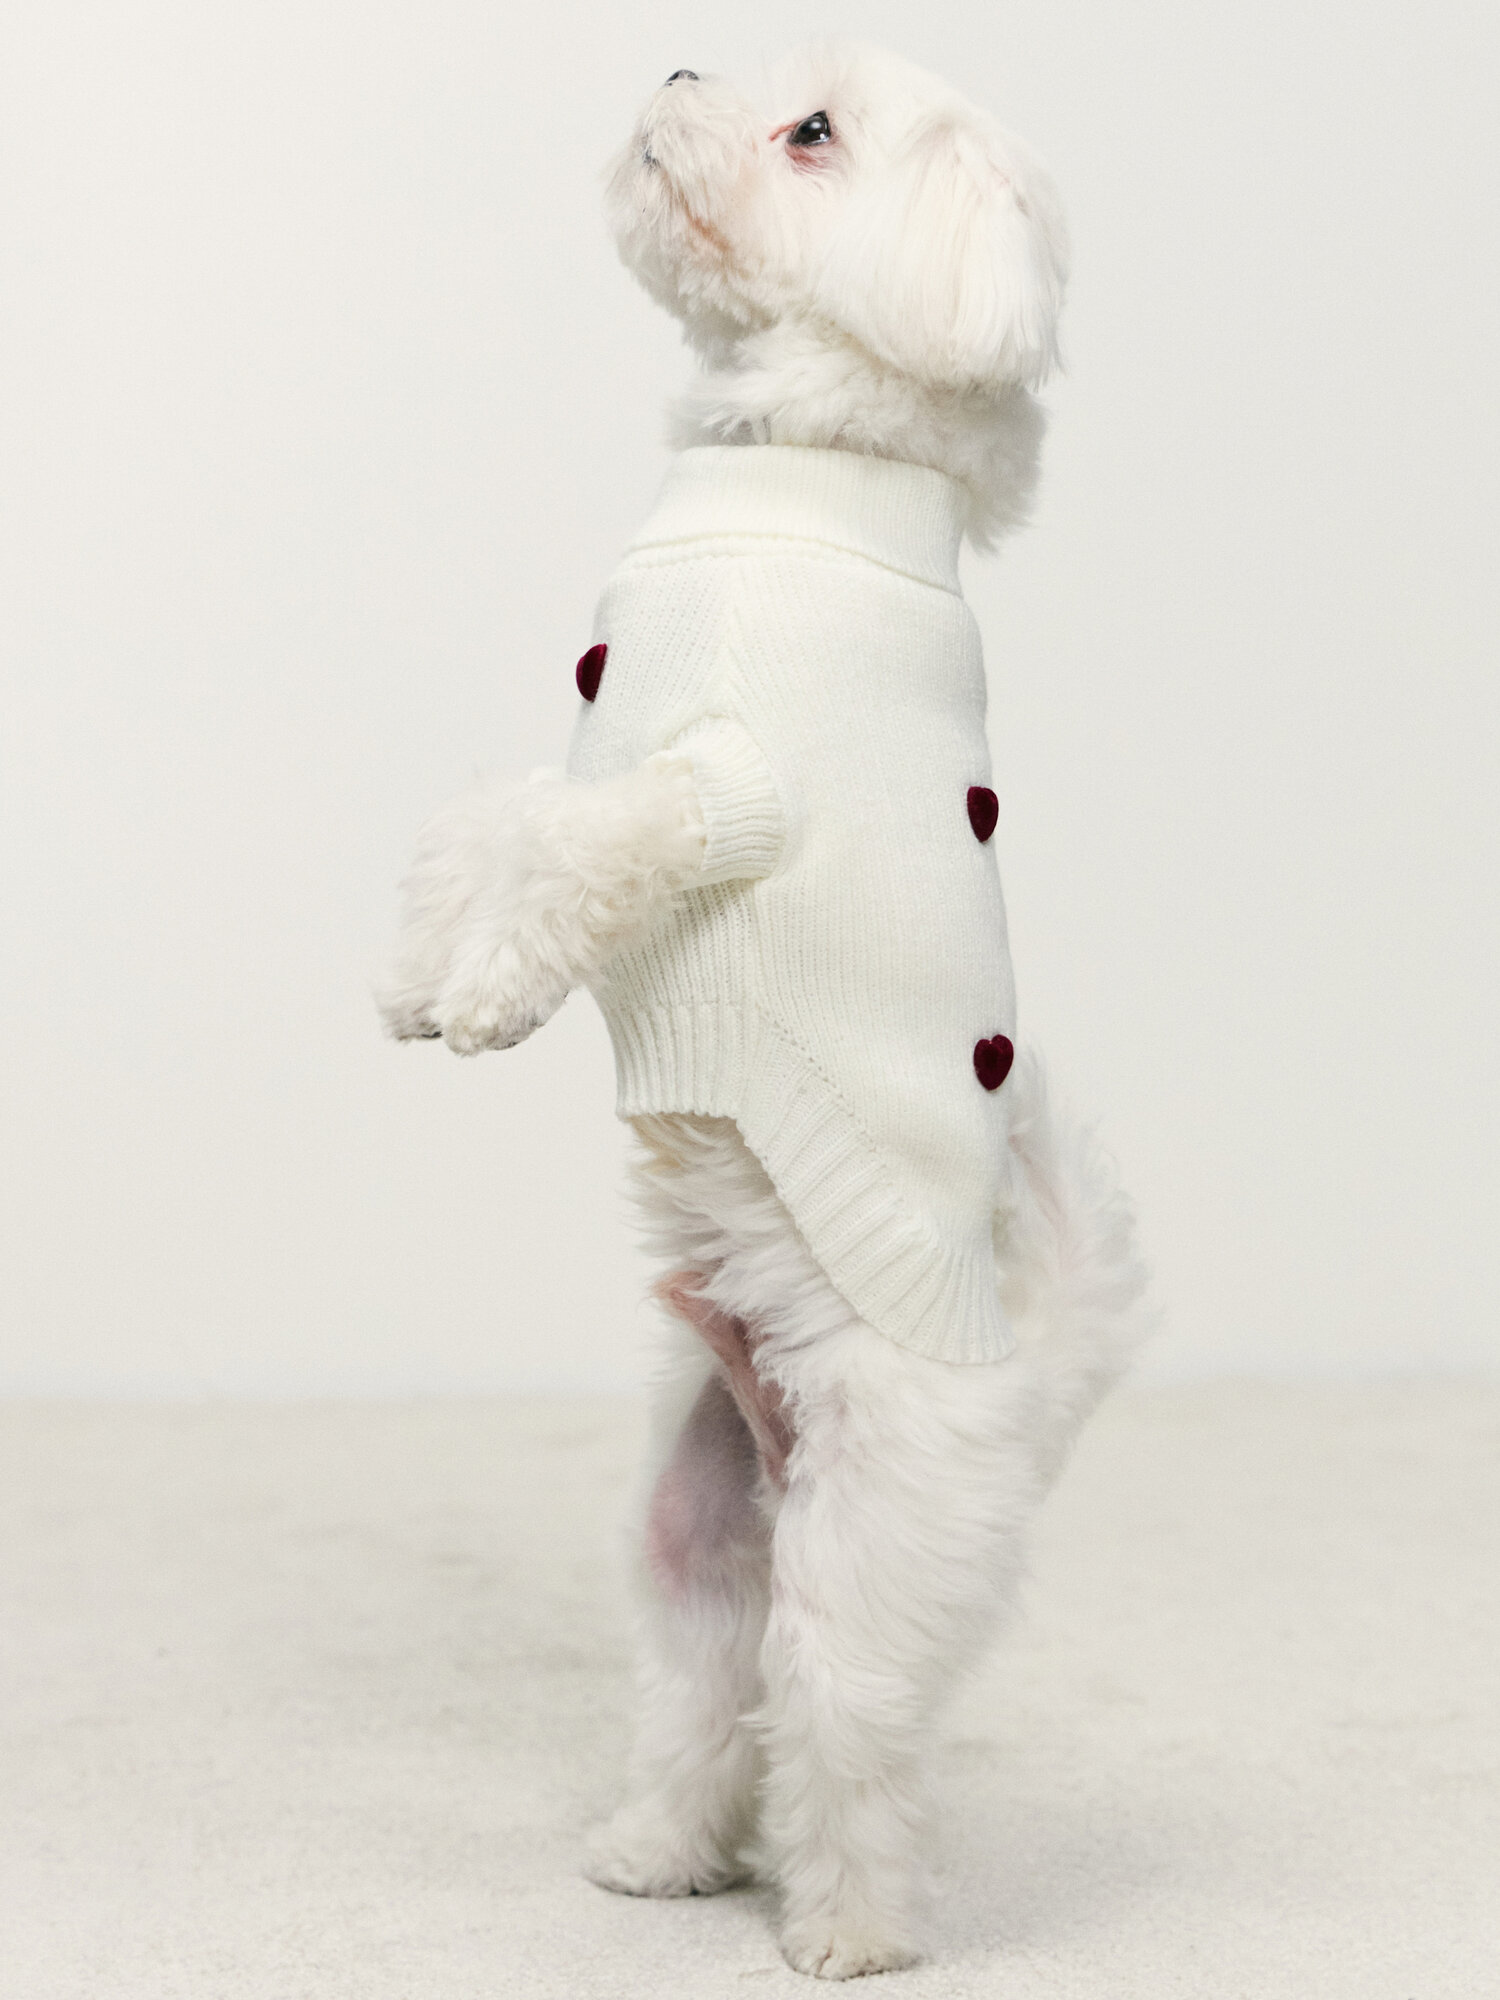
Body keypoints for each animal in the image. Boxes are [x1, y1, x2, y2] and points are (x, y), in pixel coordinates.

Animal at [380, 42, 1147, 1981]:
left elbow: (576, 847)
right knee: (706, 1699)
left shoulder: (714, 788)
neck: (798, 470)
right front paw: (422, 971)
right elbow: (497, 819)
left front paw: (491, 989)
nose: (676, 60)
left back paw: (847, 1928)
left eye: (816, 134)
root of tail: (1027, 1380)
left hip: (875, 1551)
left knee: (842, 1730)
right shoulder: (605, 733)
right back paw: (657, 1853)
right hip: (695, 1519)